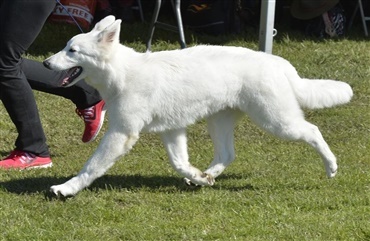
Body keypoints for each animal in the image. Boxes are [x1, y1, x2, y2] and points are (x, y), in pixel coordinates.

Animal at [43, 16, 352, 198]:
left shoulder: (122, 133)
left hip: (276, 121)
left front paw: (66, 188)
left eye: (72, 51)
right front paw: (198, 178)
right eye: (66, 46)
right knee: (227, 154)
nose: (45, 63)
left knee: (312, 130)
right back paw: (208, 175)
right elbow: (179, 163)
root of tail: (279, 62)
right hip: (220, 121)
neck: (121, 73)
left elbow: (91, 166)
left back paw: (331, 166)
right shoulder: (172, 130)